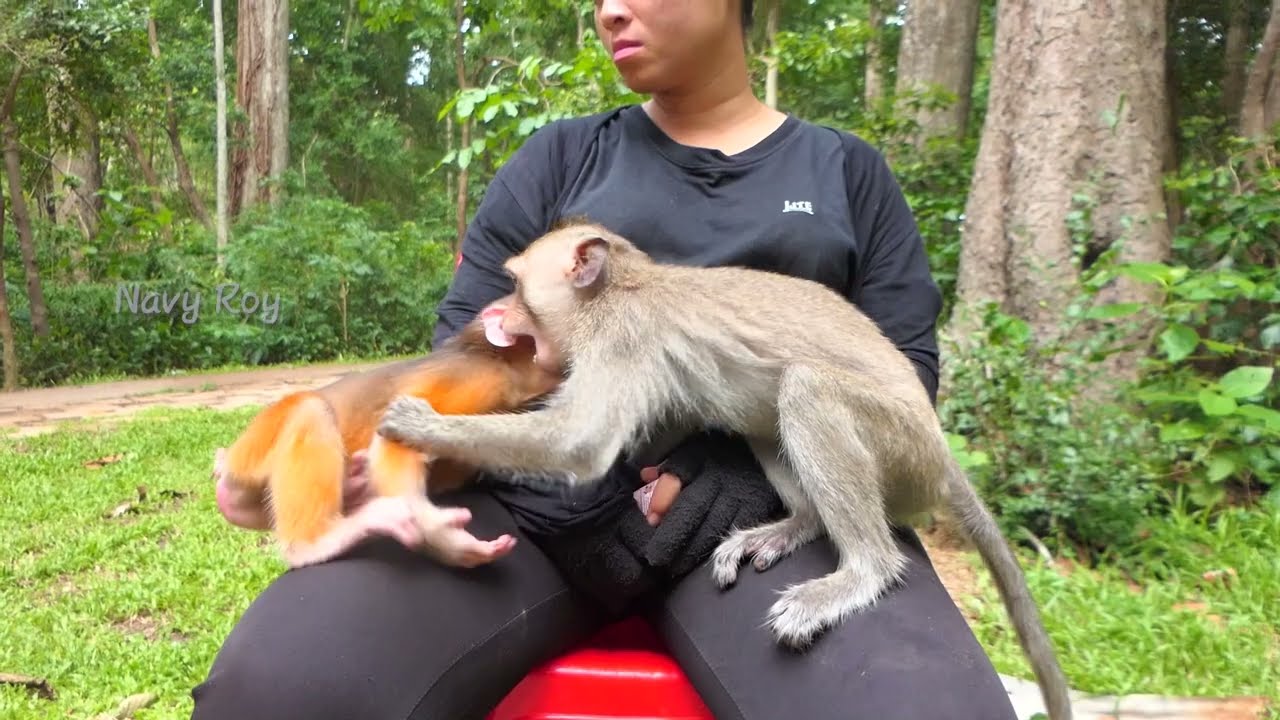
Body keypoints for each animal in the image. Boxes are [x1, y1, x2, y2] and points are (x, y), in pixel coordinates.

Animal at [212, 294, 565, 570]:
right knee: (311, 410)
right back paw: (315, 544)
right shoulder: (478, 379)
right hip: (254, 449)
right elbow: (396, 436)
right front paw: (440, 537)